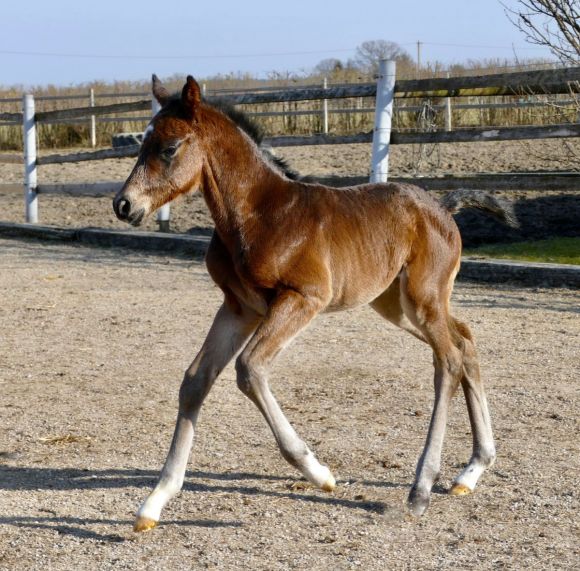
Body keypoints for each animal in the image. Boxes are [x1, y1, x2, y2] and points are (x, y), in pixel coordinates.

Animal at [114, 76, 498, 532]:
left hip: (421, 299)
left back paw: (422, 487)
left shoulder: (303, 298)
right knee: (464, 341)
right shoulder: (239, 307)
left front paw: (318, 472)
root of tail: (442, 207)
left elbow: (249, 369)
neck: (256, 216)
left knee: (449, 361)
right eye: (142, 143)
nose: (123, 205)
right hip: (397, 305)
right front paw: (155, 501)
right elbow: (195, 381)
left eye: (169, 147)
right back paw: (472, 470)